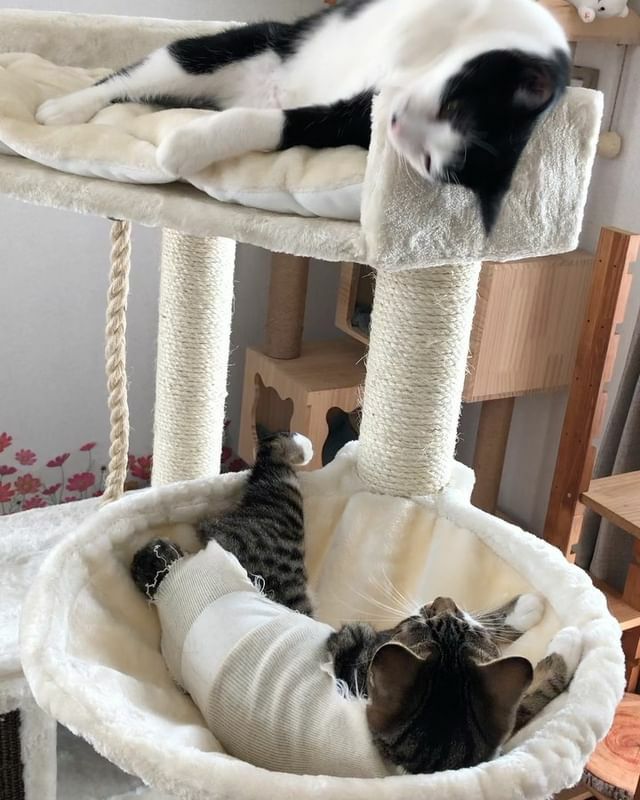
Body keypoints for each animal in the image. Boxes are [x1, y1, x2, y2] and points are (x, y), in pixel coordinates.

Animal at [36, 0, 570, 233]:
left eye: (428, 163)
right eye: (453, 106)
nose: (395, 124)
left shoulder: (347, 120)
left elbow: (293, 124)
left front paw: (184, 146)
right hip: (239, 45)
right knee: (136, 73)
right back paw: (63, 106)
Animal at [131, 432, 581, 776]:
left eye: (438, 614)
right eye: (422, 616)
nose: (443, 599)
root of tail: (173, 573)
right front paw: (559, 636)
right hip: (284, 542)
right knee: (273, 468)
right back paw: (305, 447)